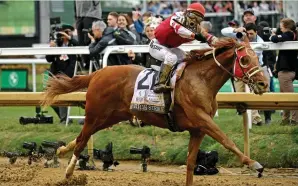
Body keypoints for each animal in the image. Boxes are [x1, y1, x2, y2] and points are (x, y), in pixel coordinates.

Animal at [42, 37, 268, 185]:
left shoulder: (197, 129)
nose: (264, 84)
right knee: (82, 139)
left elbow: (190, 163)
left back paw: (61, 151)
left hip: (109, 117)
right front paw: (254, 164)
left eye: (257, 58)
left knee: (83, 137)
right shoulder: (202, 119)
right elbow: (226, 140)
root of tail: (98, 73)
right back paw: (68, 173)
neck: (201, 80)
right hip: (95, 115)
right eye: (245, 60)